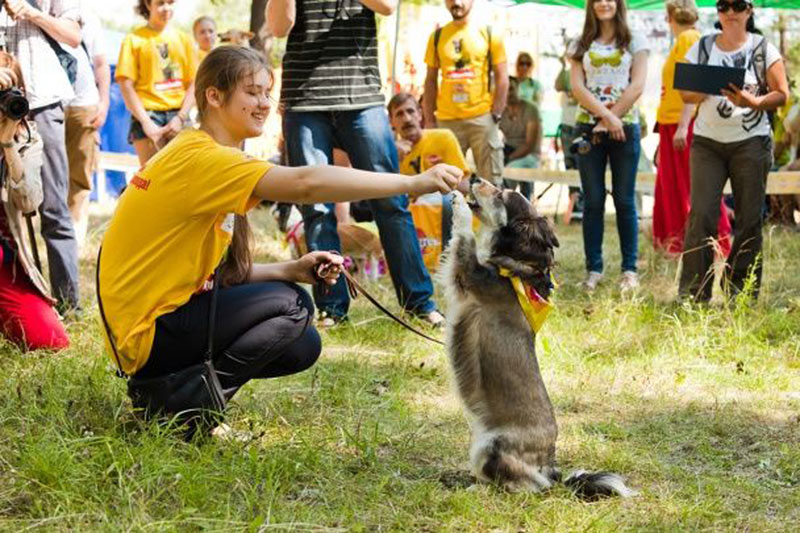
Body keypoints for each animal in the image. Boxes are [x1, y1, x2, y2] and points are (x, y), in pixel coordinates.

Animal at [440, 181, 636, 496]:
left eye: (500, 194)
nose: (474, 178)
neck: (518, 269)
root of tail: (551, 469)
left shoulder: (468, 272)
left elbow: (464, 235)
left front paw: (457, 203)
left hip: (492, 446)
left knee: (526, 485)